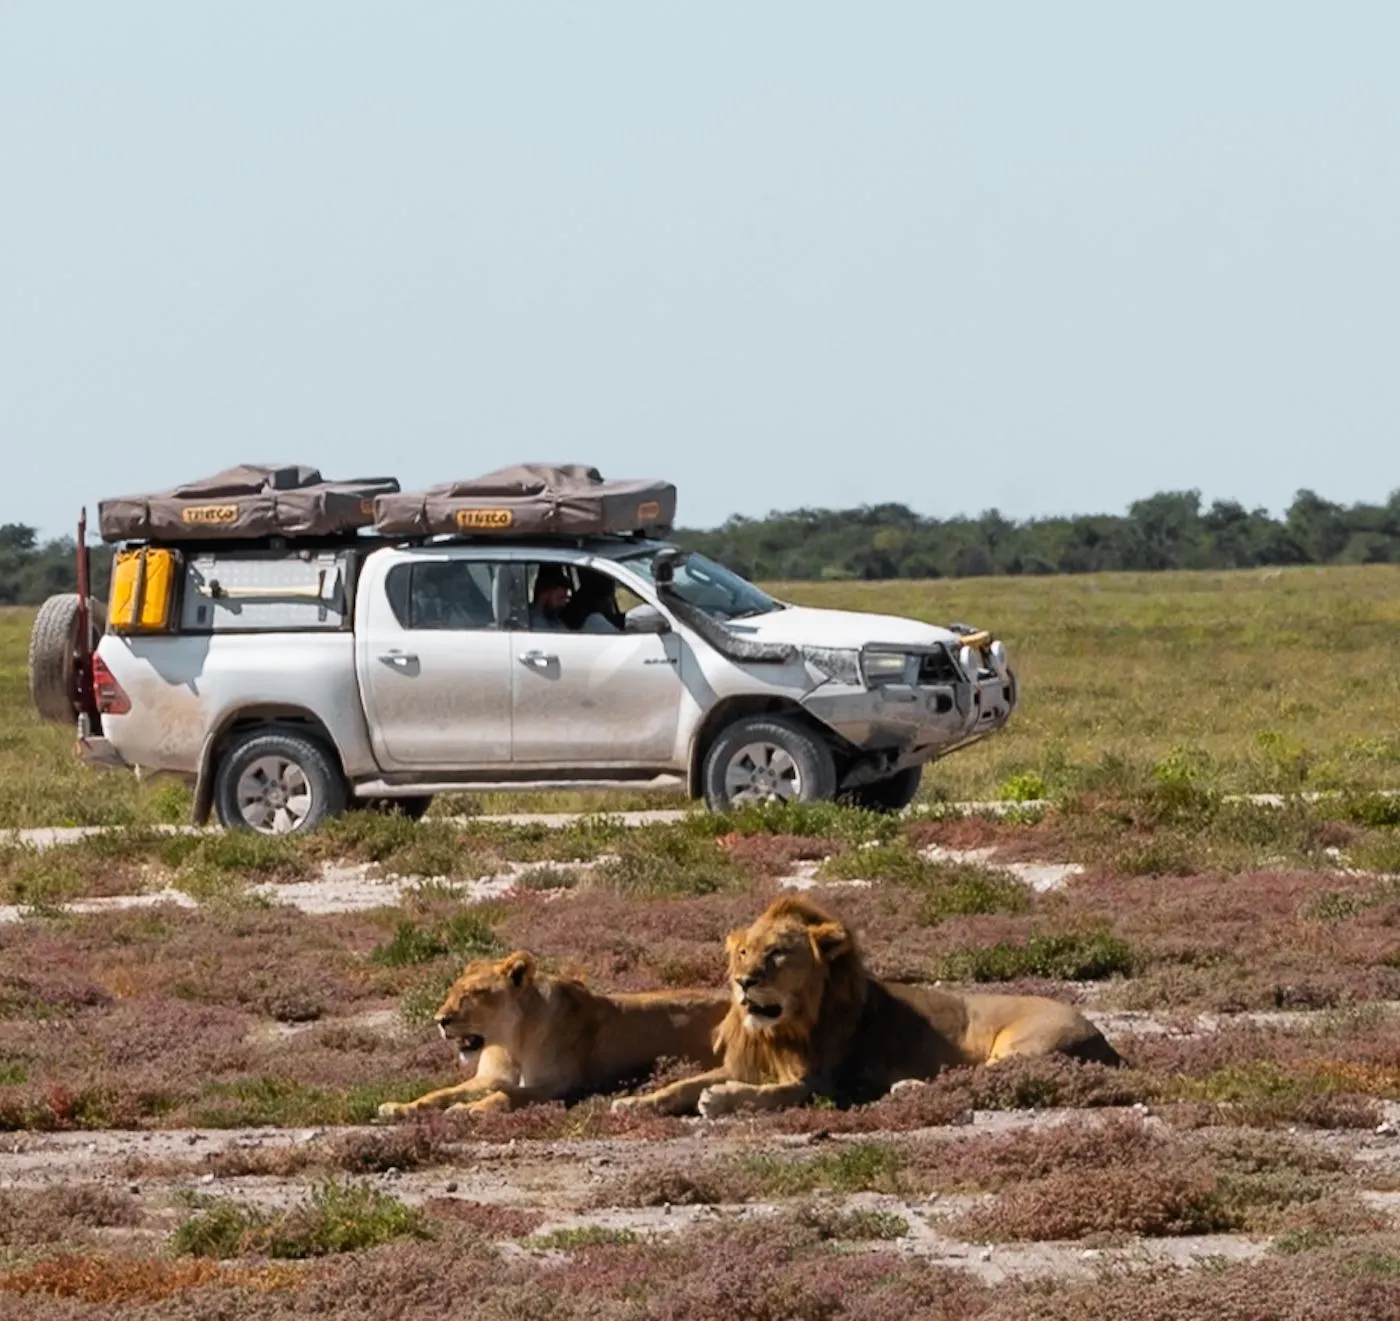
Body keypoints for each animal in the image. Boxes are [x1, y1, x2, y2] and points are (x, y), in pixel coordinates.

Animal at [376, 951, 730, 1119]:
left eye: (475, 994)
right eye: (452, 991)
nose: (440, 1020)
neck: (510, 1041)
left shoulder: (560, 1085)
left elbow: (511, 1095)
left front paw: (470, 1109)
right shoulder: (488, 1078)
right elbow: (440, 1094)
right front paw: (399, 1107)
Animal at [612, 894, 1124, 1119]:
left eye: (777, 953)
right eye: (743, 952)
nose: (744, 982)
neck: (784, 1030)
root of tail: (1105, 1038)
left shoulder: (827, 1082)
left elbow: (779, 1093)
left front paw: (721, 1100)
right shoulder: (747, 1063)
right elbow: (682, 1083)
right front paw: (635, 1101)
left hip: (1023, 1047)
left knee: (975, 1079)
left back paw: (909, 1088)